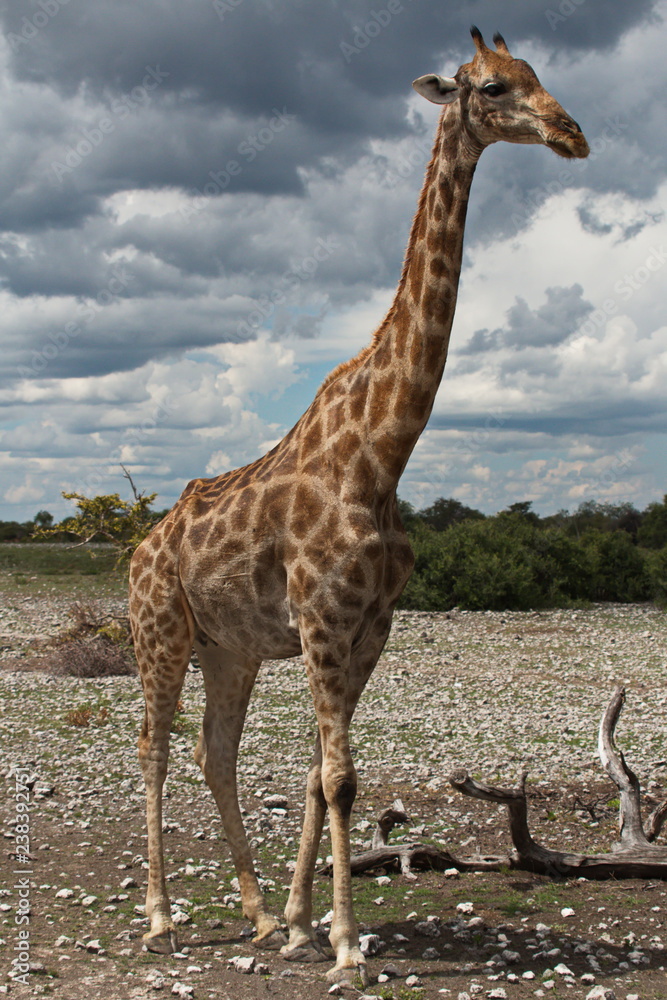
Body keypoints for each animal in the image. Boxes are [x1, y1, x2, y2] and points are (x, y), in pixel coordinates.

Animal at [129, 27, 589, 985]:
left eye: (539, 76)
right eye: (493, 87)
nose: (572, 134)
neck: (381, 455)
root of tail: (137, 548)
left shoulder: (368, 625)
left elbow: (318, 773)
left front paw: (303, 925)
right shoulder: (321, 616)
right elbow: (339, 777)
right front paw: (344, 944)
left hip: (229, 646)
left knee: (213, 751)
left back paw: (256, 914)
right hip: (158, 629)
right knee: (154, 747)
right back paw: (158, 919)